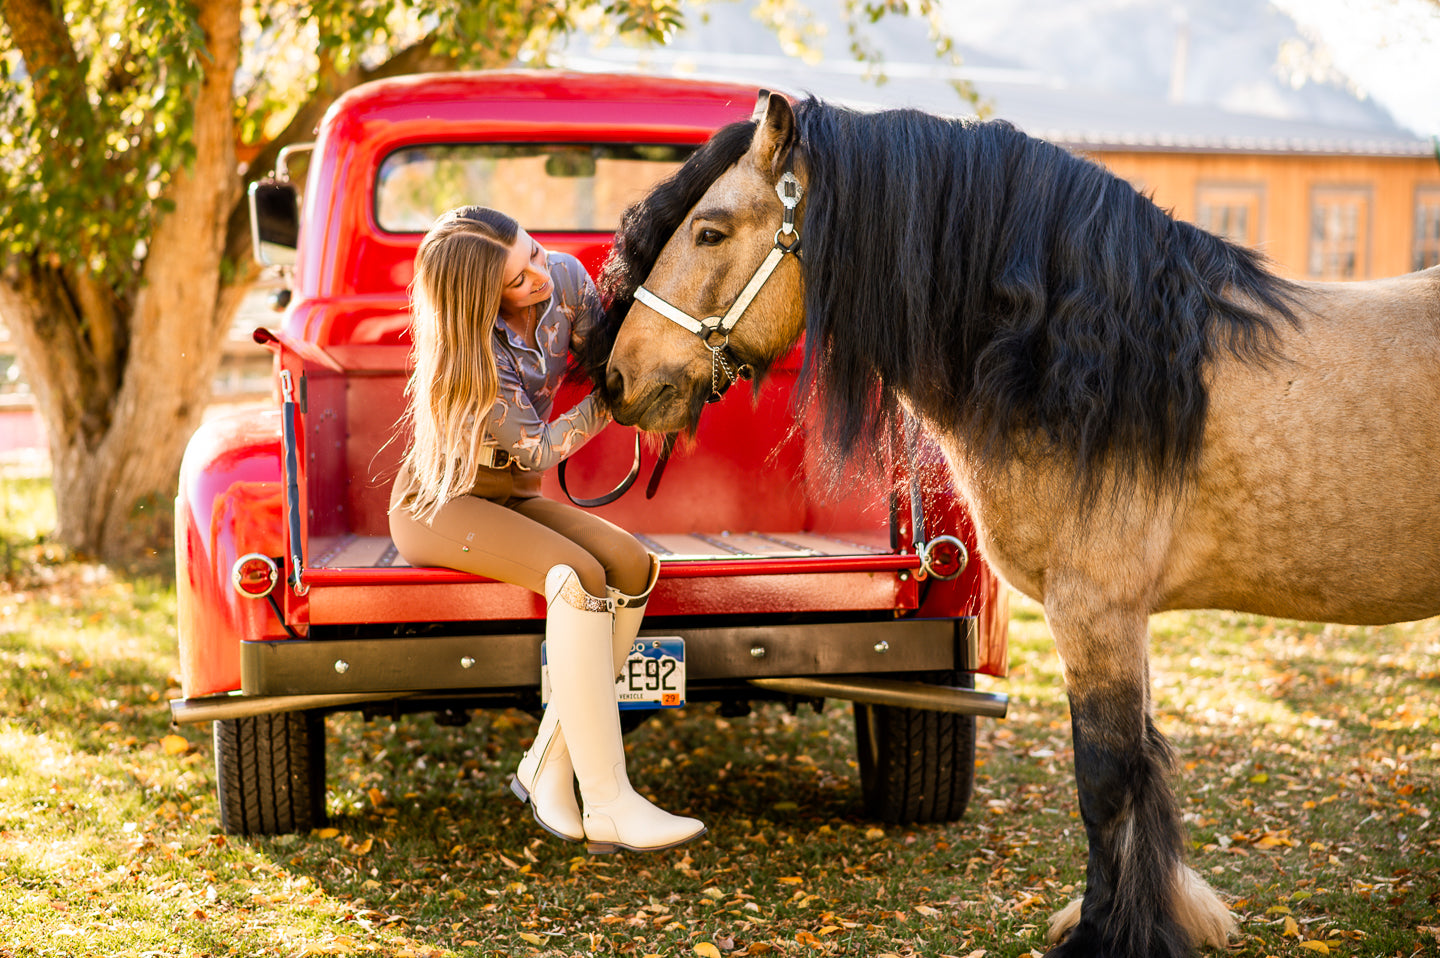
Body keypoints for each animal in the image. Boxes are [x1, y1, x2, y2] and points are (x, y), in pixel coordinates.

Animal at [578, 91, 1440, 956]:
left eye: (711, 231)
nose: (618, 377)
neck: (1089, 365)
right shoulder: (1120, 620)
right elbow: (1141, 766)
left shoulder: (1095, 611)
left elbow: (1106, 776)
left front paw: (1106, 932)